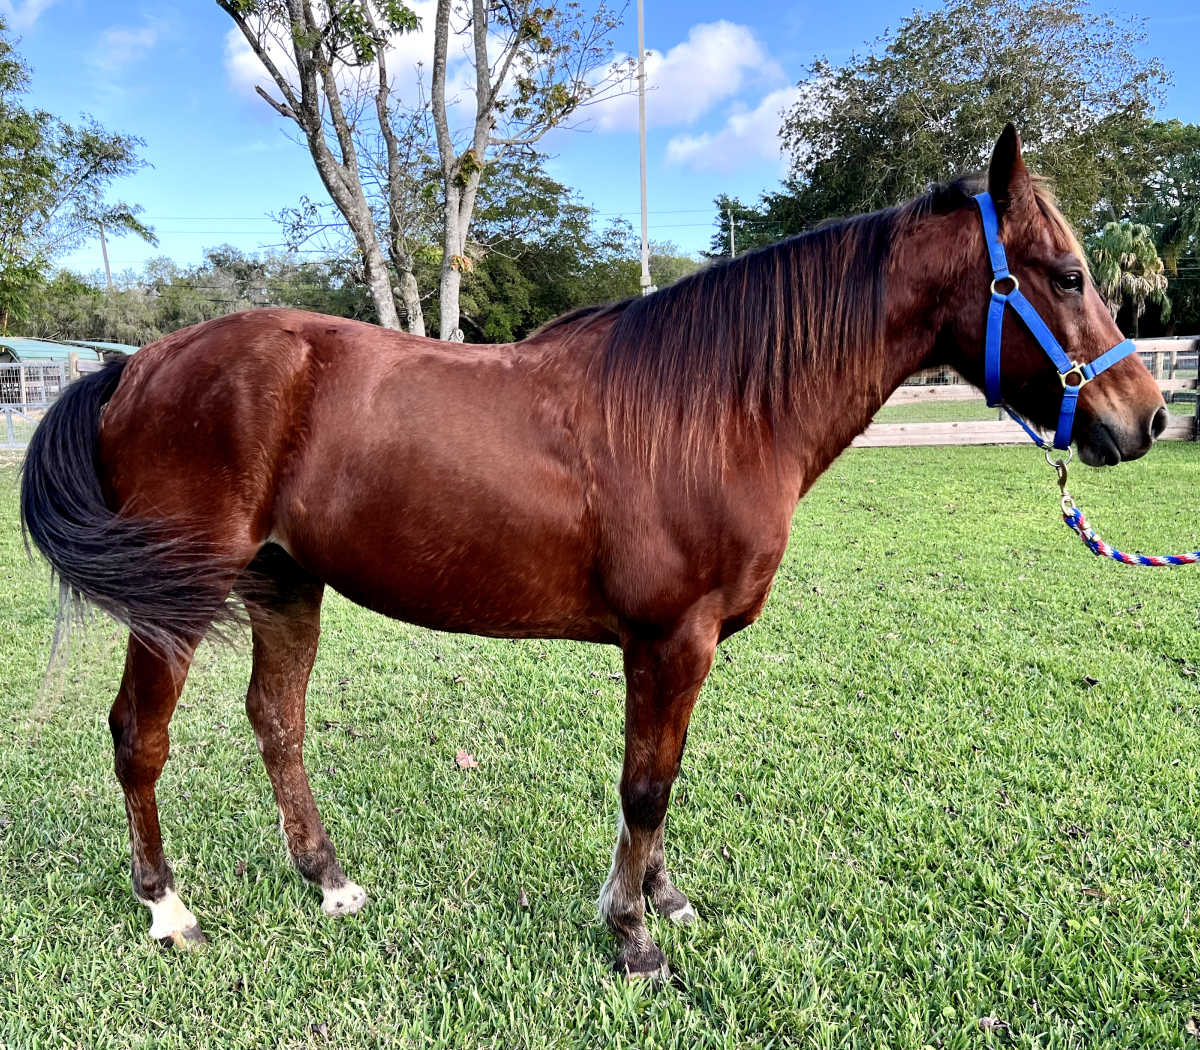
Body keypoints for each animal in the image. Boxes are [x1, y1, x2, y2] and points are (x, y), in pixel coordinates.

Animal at [16, 125, 1161, 979]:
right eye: (1068, 274)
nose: (1145, 416)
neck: (717, 408)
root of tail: (135, 367)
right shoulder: (670, 639)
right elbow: (645, 787)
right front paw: (634, 936)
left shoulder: (679, 650)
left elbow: (661, 778)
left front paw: (661, 898)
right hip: (180, 598)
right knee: (138, 737)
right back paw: (168, 908)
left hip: (285, 582)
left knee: (277, 723)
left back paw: (328, 880)